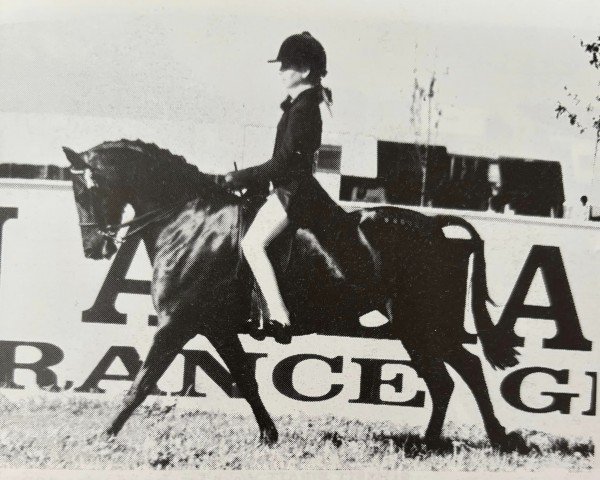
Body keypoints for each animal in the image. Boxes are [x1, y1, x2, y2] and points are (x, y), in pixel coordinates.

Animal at [62, 139, 524, 450]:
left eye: (85, 190)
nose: (93, 248)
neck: (190, 222)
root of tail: (434, 225)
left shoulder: (177, 324)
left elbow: (142, 382)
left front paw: (104, 435)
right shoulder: (215, 327)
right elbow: (245, 379)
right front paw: (269, 434)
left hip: (421, 324)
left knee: (458, 373)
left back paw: (474, 439)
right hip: (420, 328)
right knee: (454, 375)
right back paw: (450, 440)